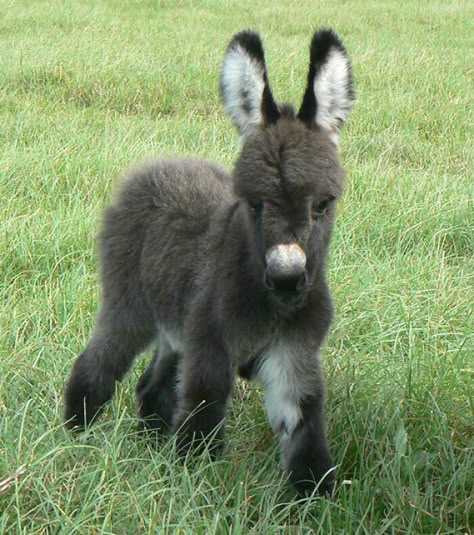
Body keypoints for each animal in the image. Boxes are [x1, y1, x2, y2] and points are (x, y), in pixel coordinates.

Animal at [66, 28, 356, 498]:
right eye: (253, 204)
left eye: (323, 205)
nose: (287, 278)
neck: (270, 306)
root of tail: (156, 165)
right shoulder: (211, 347)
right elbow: (202, 417)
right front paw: (191, 489)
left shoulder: (294, 354)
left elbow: (305, 425)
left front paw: (314, 497)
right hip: (131, 306)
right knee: (100, 363)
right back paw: (75, 436)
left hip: (176, 327)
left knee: (153, 385)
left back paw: (148, 441)